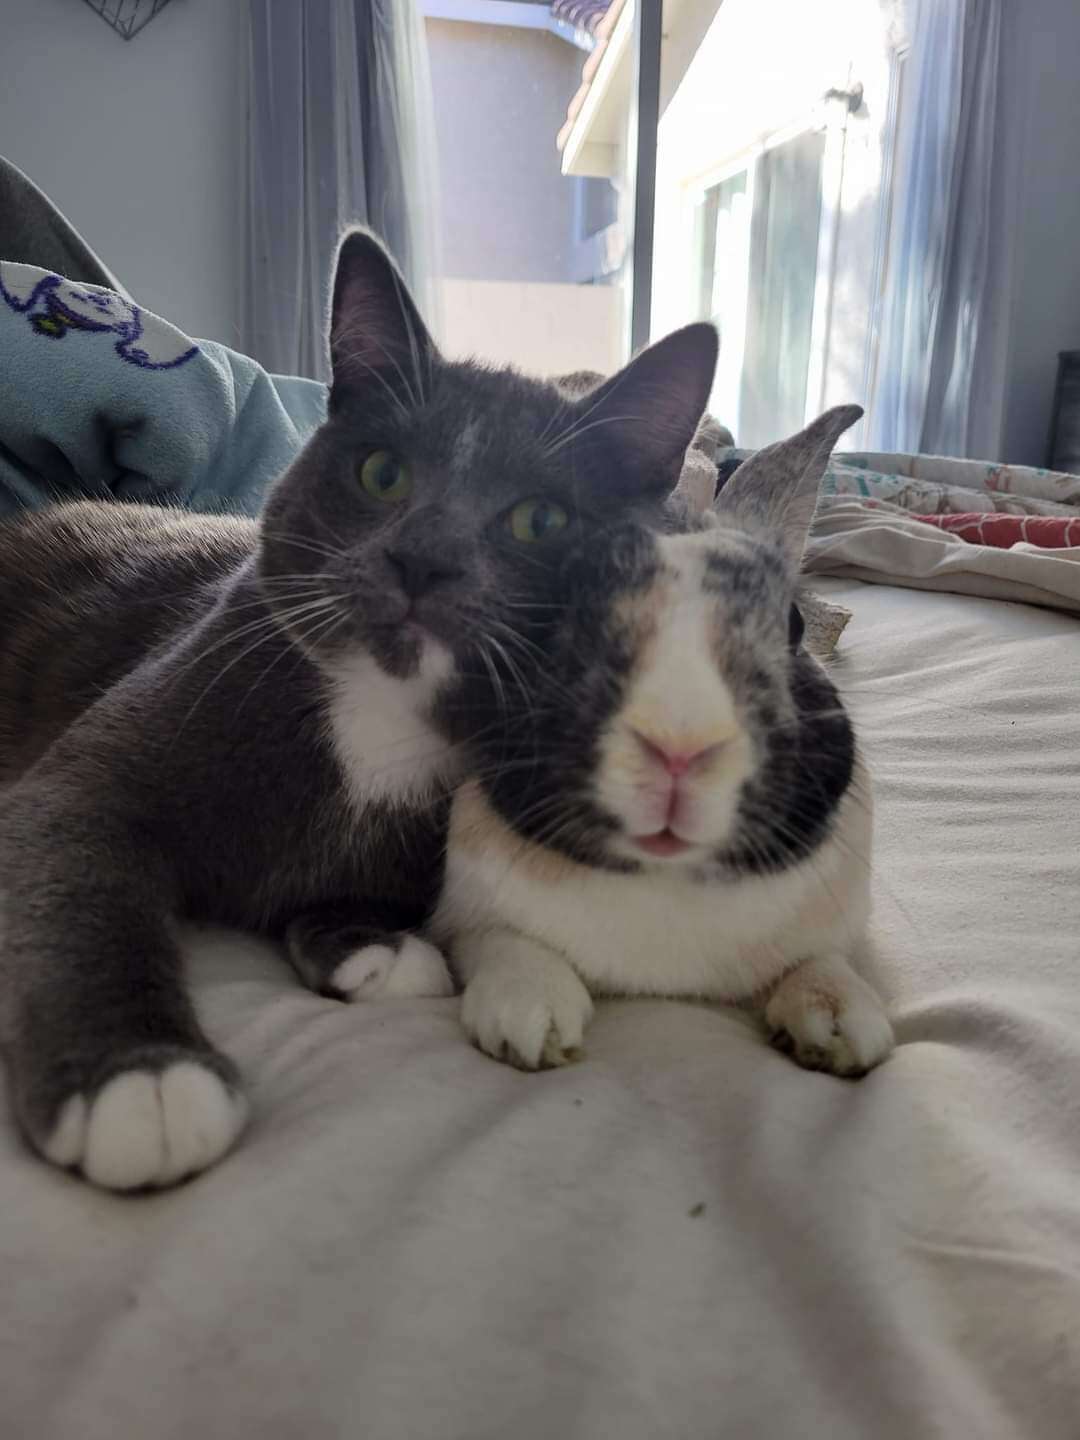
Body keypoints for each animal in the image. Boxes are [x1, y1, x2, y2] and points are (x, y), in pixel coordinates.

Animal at [0, 227, 720, 1192]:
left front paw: (370, 943)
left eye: (540, 520)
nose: (423, 557)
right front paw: (141, 1079)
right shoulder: (98, 770)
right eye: (382, 472)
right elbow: (73, 875)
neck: (382, 711)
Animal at [432, 406, 898, 1082]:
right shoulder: (464, 920)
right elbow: (504, 943)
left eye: (792, 625)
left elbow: (819, 961)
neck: (667, 876)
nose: (681, 746)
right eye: (563, 614)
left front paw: (840, 1020)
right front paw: (529, 1016)